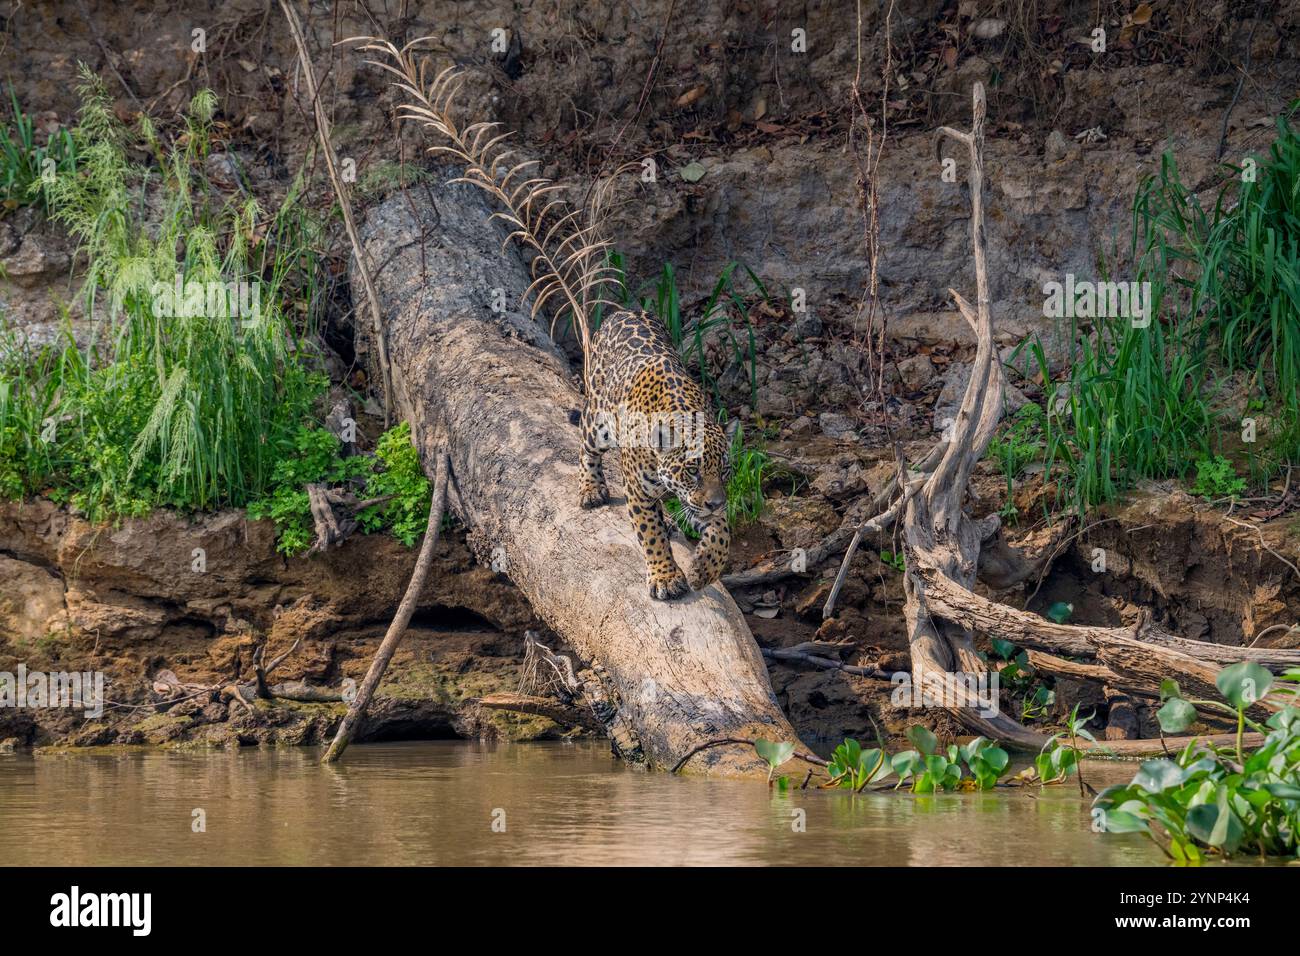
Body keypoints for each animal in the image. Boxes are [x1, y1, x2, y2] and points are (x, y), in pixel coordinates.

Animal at [571, 309, 737, 600]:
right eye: (693, 470)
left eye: (724, 470)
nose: (716, 504)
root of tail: (621, 312)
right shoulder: (637, 491)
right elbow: (650, 534)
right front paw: (666, 578)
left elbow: (721, 532)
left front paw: (704, 570)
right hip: (598, 422)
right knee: (586, 444)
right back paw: (591, 489)